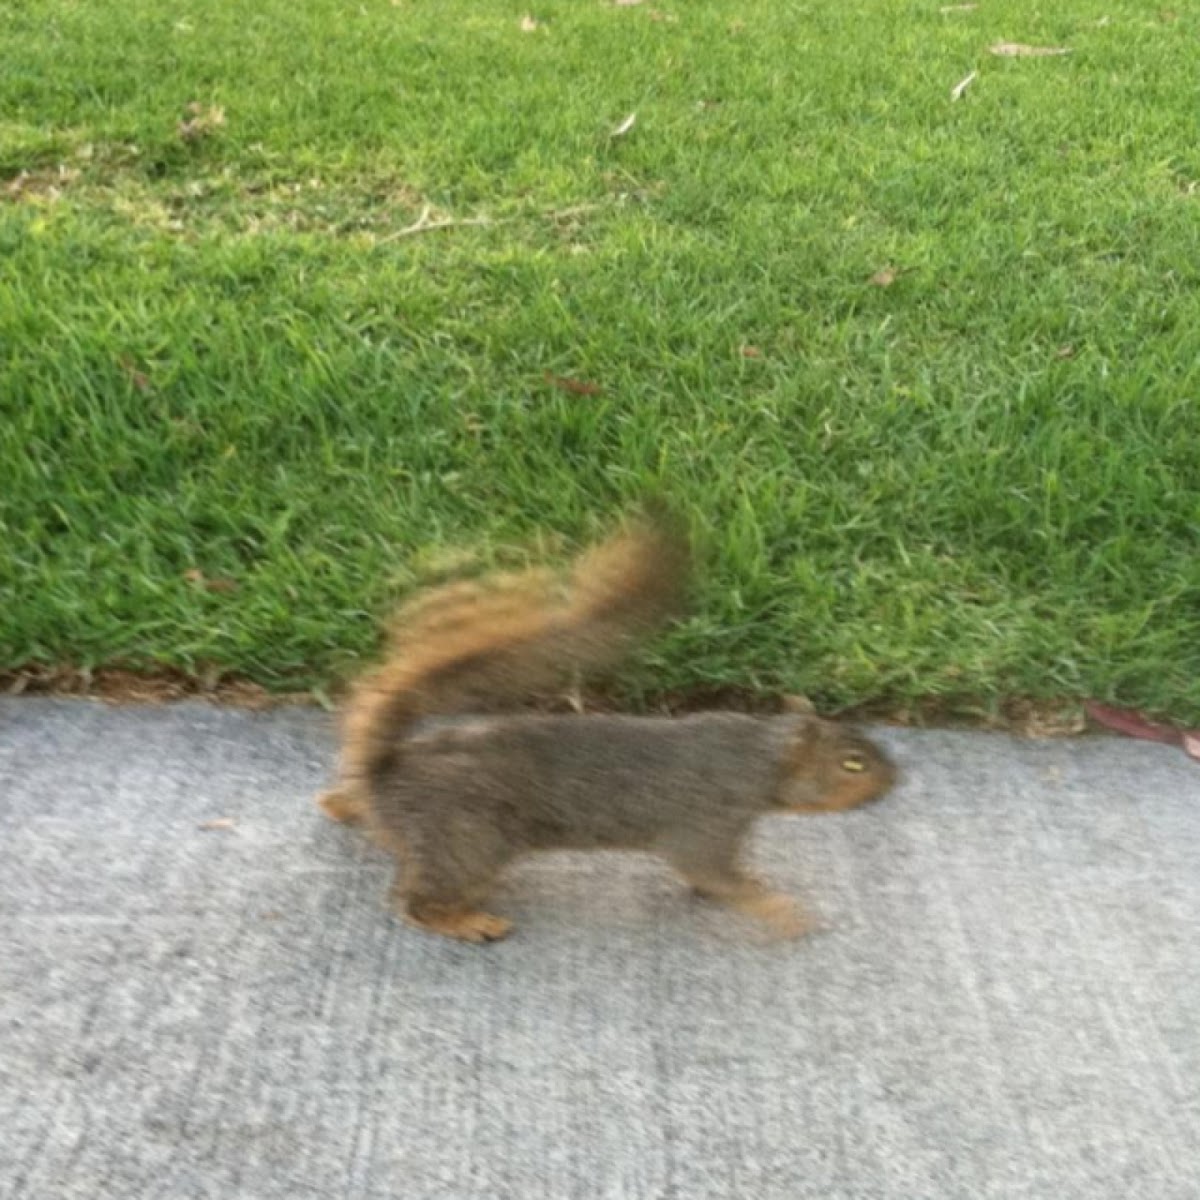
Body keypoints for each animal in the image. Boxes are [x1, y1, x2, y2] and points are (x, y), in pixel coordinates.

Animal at [319, 501, 902, 940]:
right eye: (852, 763)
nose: (896, 779)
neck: (757, 757)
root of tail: (382, 773)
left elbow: (719, 877)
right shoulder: (707, 821)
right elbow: (711, 872)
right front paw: (782, 912)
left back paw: (344, 805)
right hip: (468, 842)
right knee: (414, 900)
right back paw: (469, 923)